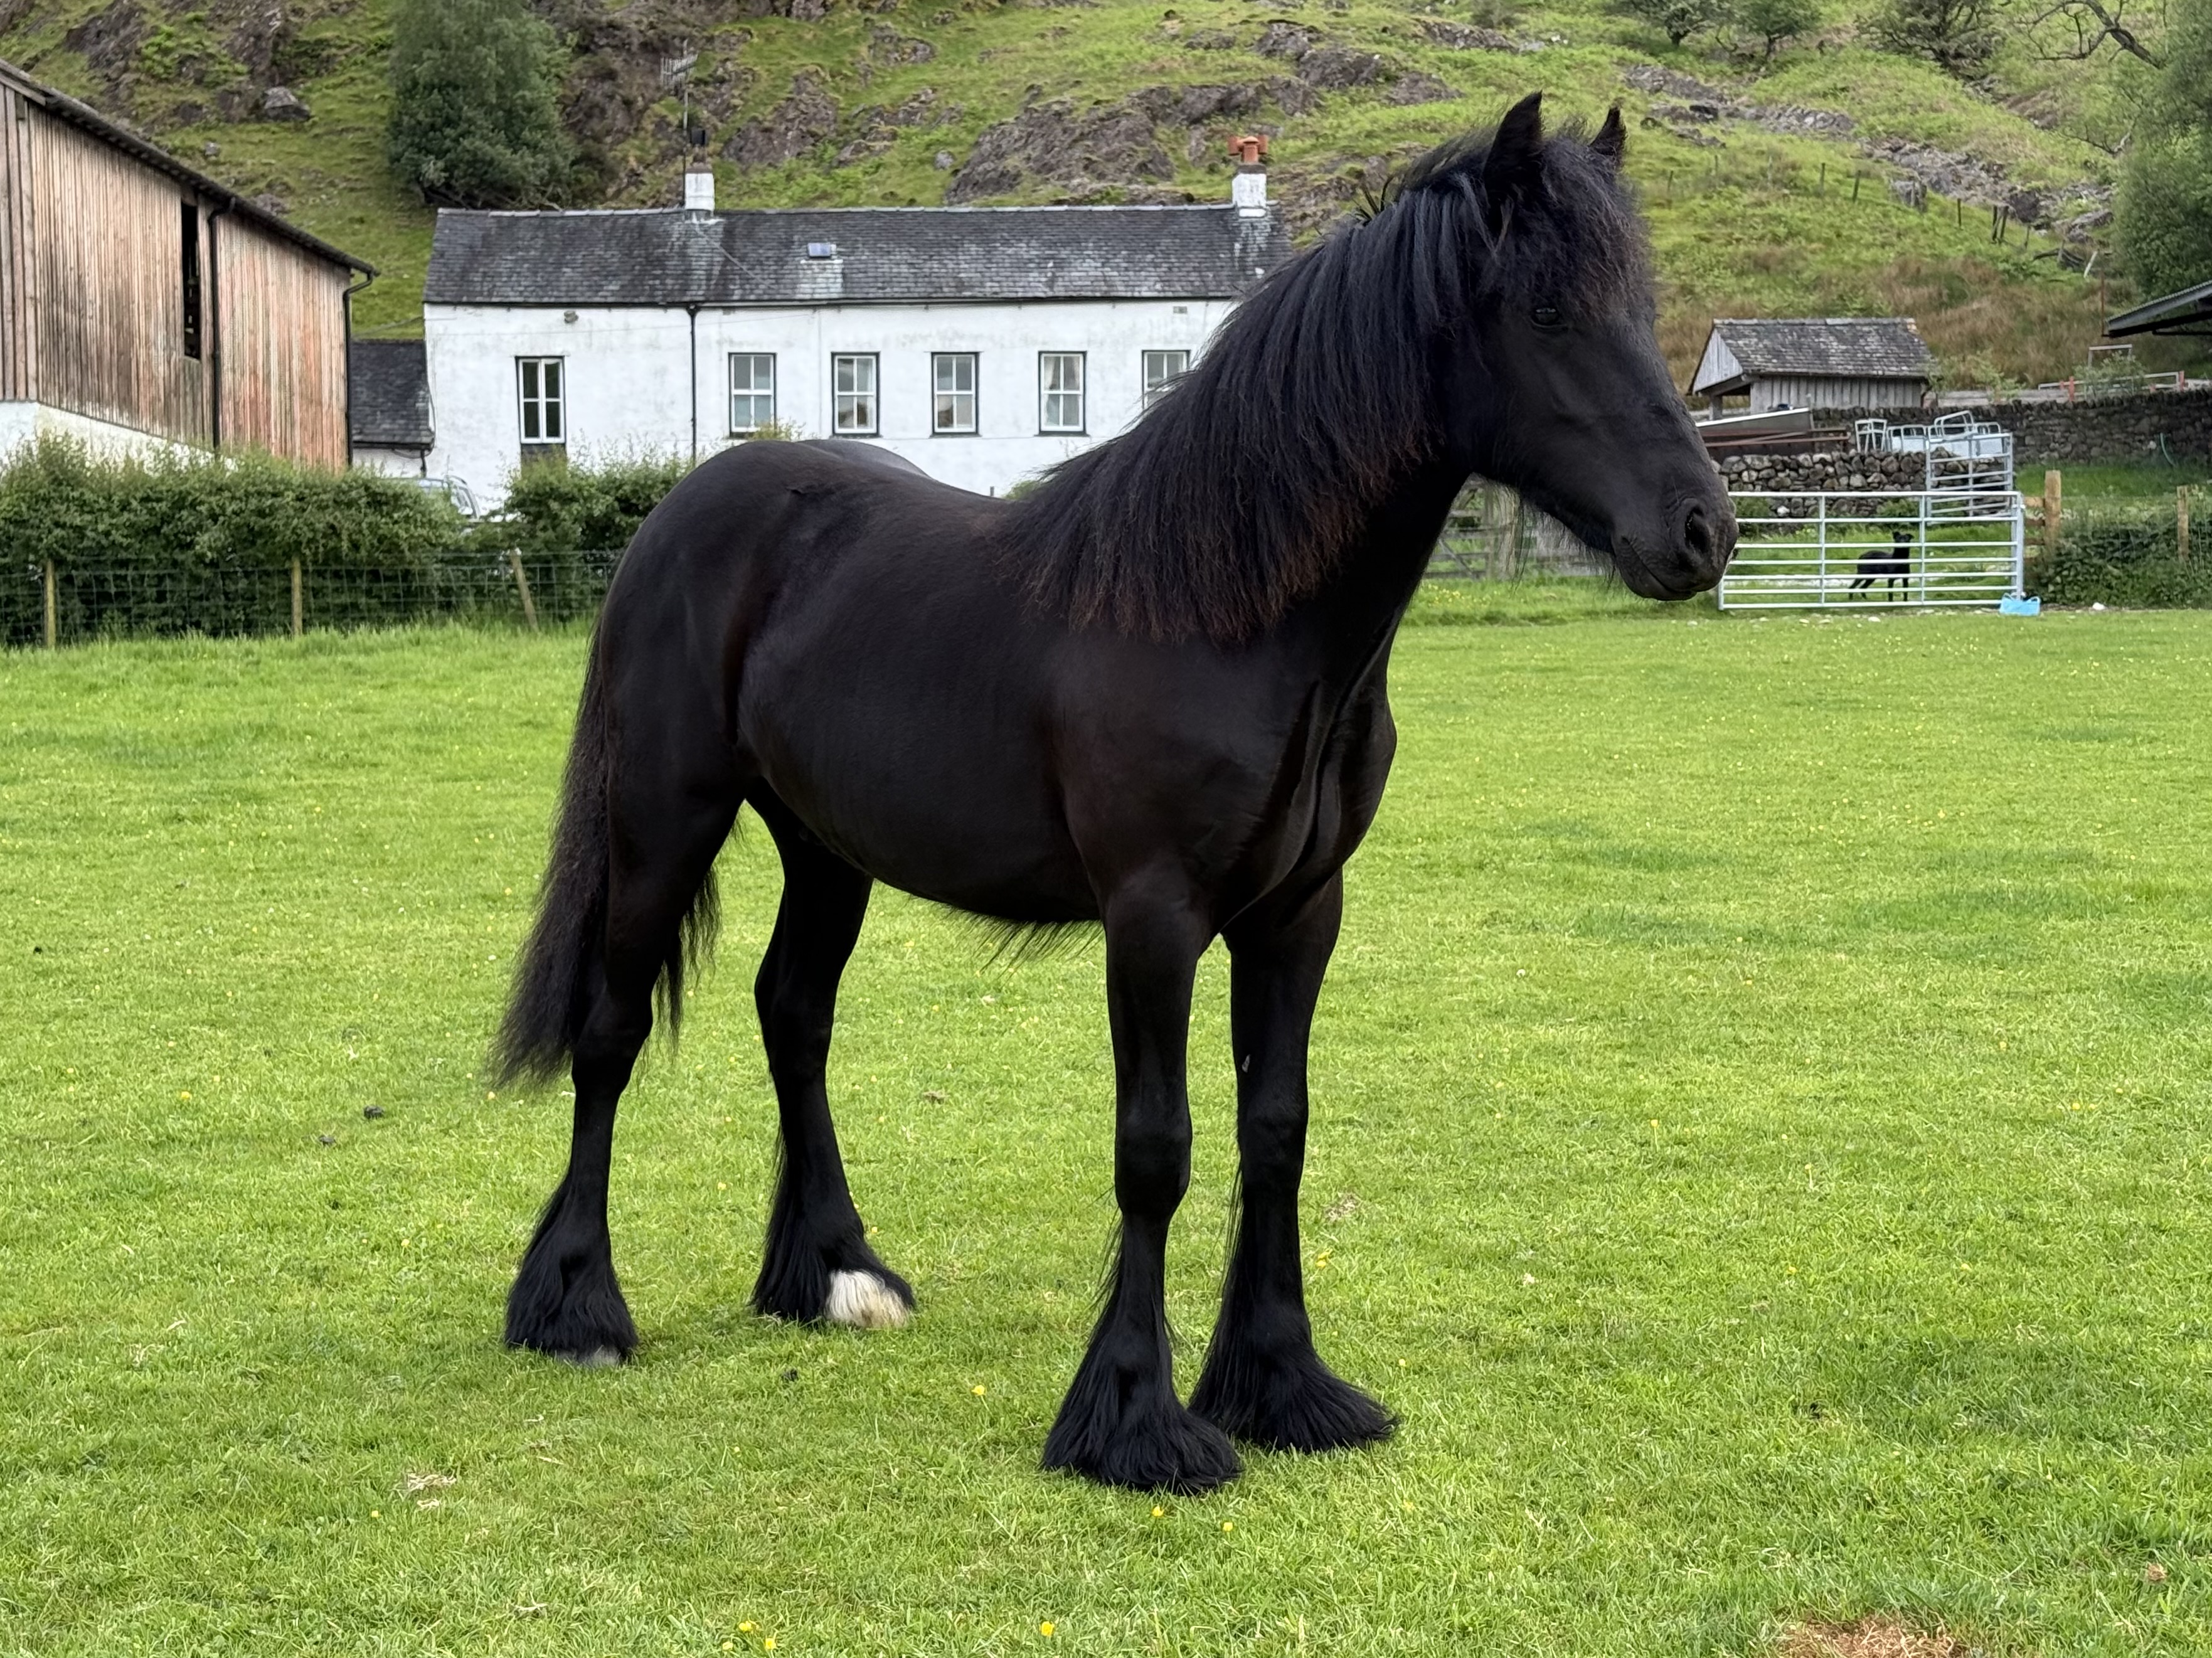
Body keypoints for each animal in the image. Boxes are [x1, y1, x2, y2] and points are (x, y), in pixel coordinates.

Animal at [488, 93, 1735, 1495]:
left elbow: (1275, 1128)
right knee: (610, 1032)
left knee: (792, 1015)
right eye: (1546, 312)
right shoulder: (1153, 917)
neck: (1232, 610)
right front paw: (1135, 1417)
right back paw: (577, 1306)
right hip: (665, 818)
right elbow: (1156, 1148)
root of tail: (682, 512)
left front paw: (1282, 1384)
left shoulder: (1298, 914)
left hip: (826, 846)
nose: (1701, 532)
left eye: (1638, 305)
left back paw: (836, 1273)